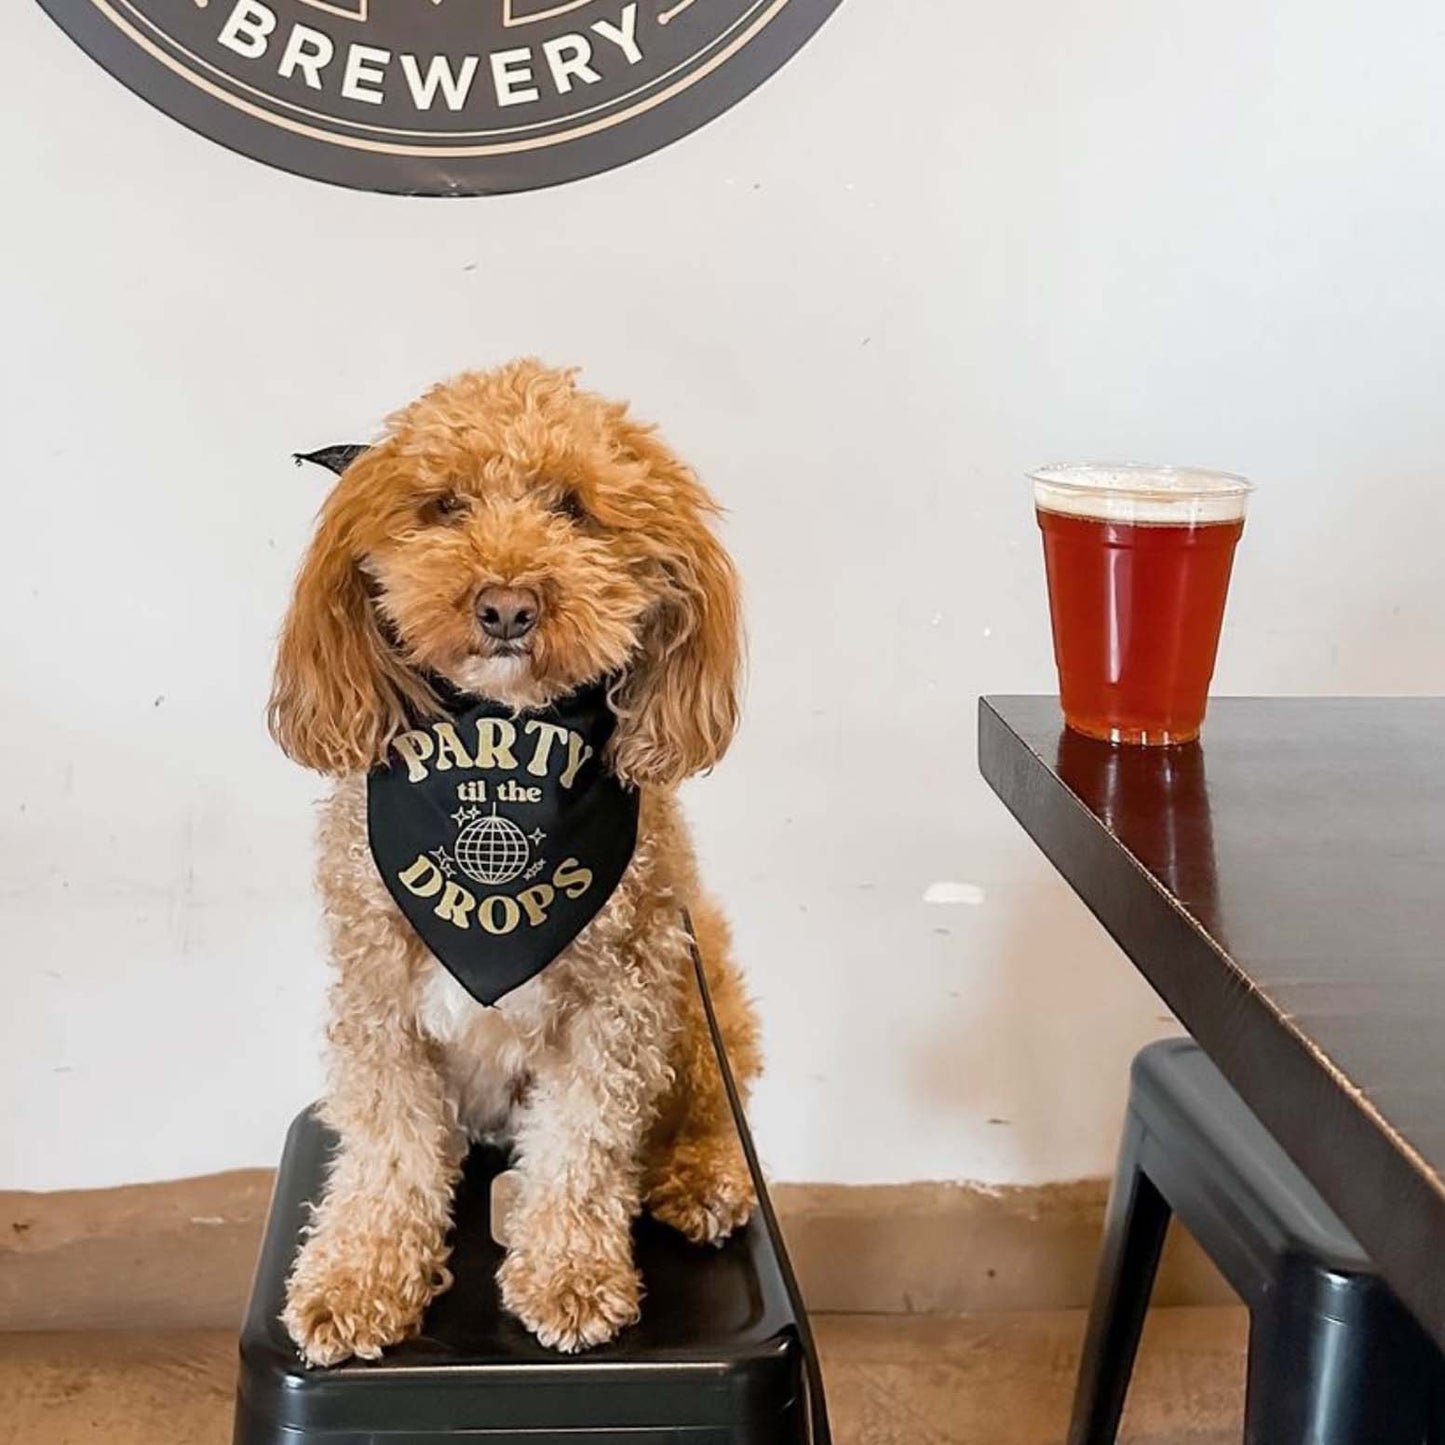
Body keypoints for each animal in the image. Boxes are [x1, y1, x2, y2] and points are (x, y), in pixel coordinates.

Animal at [267, 361, 762, 1364]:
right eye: (444, 504)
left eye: (573, 506)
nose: (505, 605)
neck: (505, 734)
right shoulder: (377, 996)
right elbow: (387, 1147)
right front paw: (357, 1275)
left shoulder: (620, 1000)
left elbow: (581, 1144)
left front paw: (569, 1275)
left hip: (699, 994)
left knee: (716, 1102)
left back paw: (701, 1176)